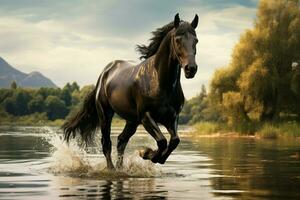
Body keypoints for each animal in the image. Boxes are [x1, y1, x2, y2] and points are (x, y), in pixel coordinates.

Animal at [62, 13, 199, 170]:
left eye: (196, 40)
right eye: (177, 39)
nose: (191, 69)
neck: (160, 82)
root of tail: (104, 73)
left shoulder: (172, 117)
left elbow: (174, 141)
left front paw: (153, 156)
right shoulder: (146, 116)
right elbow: (162, 141)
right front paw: (145, 153)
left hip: (132, 121)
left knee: (121, 140)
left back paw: (120, 167)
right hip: (106, 114)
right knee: (107, 143)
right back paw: (112, 169)